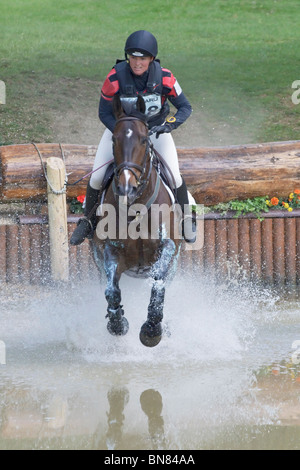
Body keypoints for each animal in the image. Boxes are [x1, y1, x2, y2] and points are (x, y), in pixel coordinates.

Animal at [90, 94, 182, 346]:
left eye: (143, 139)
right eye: (114, 139)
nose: (126, 188)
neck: (137, 208)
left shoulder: (167, 248)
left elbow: (158, 285)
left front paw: (152, 330)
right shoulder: (111, 251)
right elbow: (112, 291)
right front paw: (117, 324)